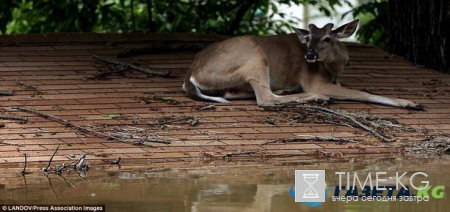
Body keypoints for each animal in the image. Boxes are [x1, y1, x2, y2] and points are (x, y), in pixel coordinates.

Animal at [181, 19, 424, 111]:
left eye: (327, 38)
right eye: (308, 38)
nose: (309, 54)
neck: (333, 70)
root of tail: (190, 75)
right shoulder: (313, 80)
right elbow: (360, 92)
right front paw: (411, 103)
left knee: (234, 93)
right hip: (254, 57)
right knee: (265, 98)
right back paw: (318, 97)